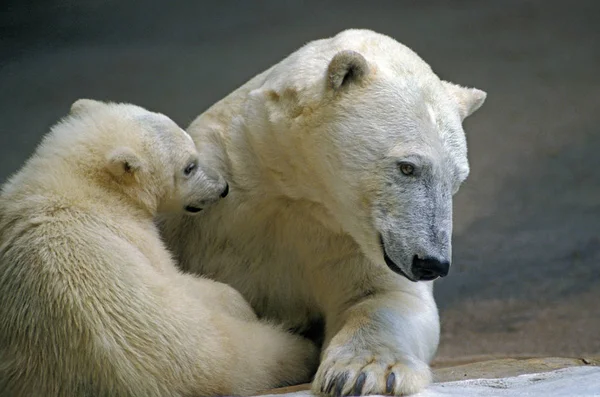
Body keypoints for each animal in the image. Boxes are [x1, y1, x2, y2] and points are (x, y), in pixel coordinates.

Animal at [0, 100, 318, 396]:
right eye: (189, 167)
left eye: (195, 154)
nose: (223, 188)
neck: (79, 183)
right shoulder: (130, 231)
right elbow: (177, 277)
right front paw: (240, 304)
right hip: (190, 343)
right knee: (253, 353)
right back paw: (303, 347)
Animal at [161, 28, 488, 396]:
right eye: (407, 167)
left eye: (457, 179)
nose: (432, 262)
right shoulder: (205, 211)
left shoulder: (344, 241)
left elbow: (385, 296)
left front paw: (362, 373)